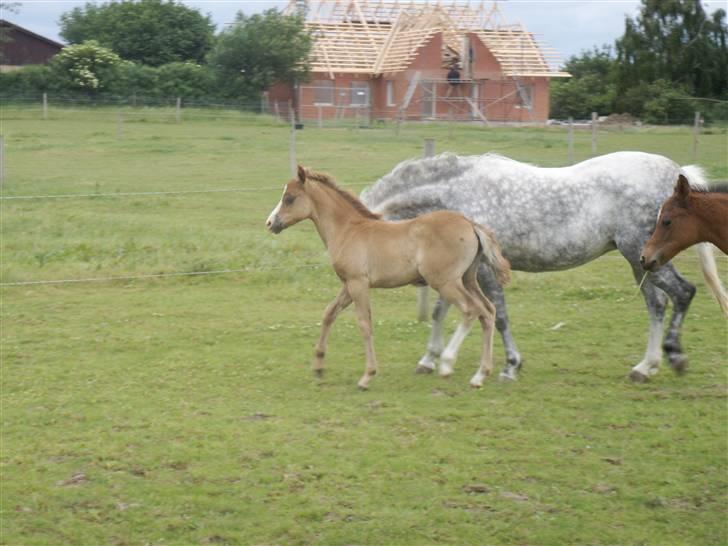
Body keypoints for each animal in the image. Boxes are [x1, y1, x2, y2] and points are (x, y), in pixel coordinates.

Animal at [264, 165, 510, 386]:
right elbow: (329, 314)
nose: (270, 223)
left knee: (471, 310)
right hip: (468, 280)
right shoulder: (348, 285)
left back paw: (447, 364)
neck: (348, 230)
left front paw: (367, 376)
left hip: (446, 282)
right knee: (488, 311)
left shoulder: (358, 283)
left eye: (290, 198)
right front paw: (318, 367)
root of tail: (470, 223)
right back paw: (480, 375)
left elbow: (364, 324)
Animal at [362, 149, 724, 380]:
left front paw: (510, 365)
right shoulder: (458, 272)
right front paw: (428, 360)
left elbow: (499, 316)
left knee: (683, 293)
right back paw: (645, 367)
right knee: (657, 304)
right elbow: (441, 311)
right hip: (642, 261)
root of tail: (675, 174)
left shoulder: (482, 271)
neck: (457, 194)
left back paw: (674, 356)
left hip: (644, 255)